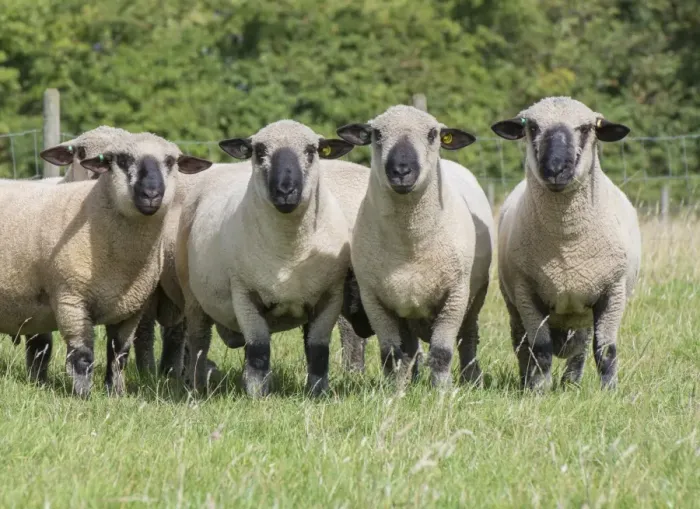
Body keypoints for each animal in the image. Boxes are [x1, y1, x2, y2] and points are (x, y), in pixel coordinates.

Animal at [0, 131, 211, 396]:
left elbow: (119, 353)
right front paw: (83, 396)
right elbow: (82, 355)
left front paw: (115, 392)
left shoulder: (131, 306)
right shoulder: (70, 299)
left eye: (171, 161)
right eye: (121, 160)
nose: (151, 194)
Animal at [175, 120, 355, 397]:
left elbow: (317, 349)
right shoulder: (244, 294)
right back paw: (197, 389)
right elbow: (259, 349)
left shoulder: (330, 297)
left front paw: (317, 393)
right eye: (259, 152)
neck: (290, 254)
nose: (285, 190)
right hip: (194, 298)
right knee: (199, 344)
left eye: (311, 151)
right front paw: (257, 395)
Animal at [336, 105, 495, 388]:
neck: (409, 246)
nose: (401, 170)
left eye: (433, 134)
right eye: (377, 134)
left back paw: (471, 378)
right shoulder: (374, 299)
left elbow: (442, 351)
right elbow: (391, 354)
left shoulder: (455, 295)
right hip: (406, 309)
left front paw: (442, 390)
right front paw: (394, 391)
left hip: (475, 296)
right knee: (409, 349)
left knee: (468, 337)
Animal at [490, 96, 641, 391]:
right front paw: (539, 390)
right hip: (514, 304)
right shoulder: (527, 293)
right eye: (532, 127)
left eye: (586, 128)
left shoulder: (613, 290)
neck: (567, 245)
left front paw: (610, 392)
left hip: (583, 313)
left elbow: (606, 350)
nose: (555, 169)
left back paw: (571, 383)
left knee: (581, 348)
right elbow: (540, 349)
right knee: (521, 345)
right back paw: (527, 381)